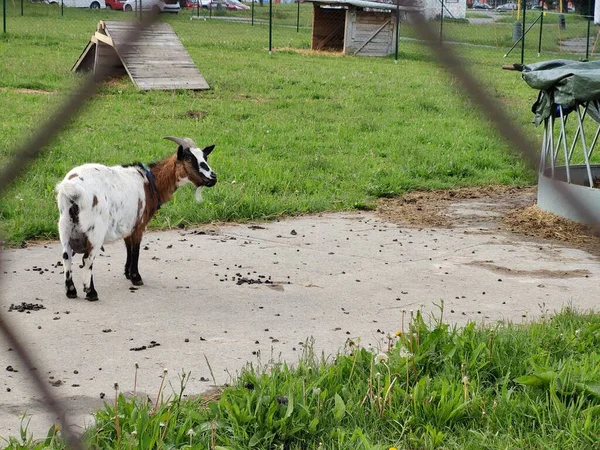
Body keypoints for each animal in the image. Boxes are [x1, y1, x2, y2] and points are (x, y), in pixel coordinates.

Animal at [56, 135, 218, 300]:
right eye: (189, 159)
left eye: (205, 157)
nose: (213, 178)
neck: (150, 183)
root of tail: (73, 189)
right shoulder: (140, 224)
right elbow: (136, 250)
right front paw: (136, 277)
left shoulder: (128, 224)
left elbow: (128, 247)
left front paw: (127, 273)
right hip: (95, 228)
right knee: (87, 258)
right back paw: (91, 292)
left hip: (65, 225)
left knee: (66, 256)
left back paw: (71, 291)